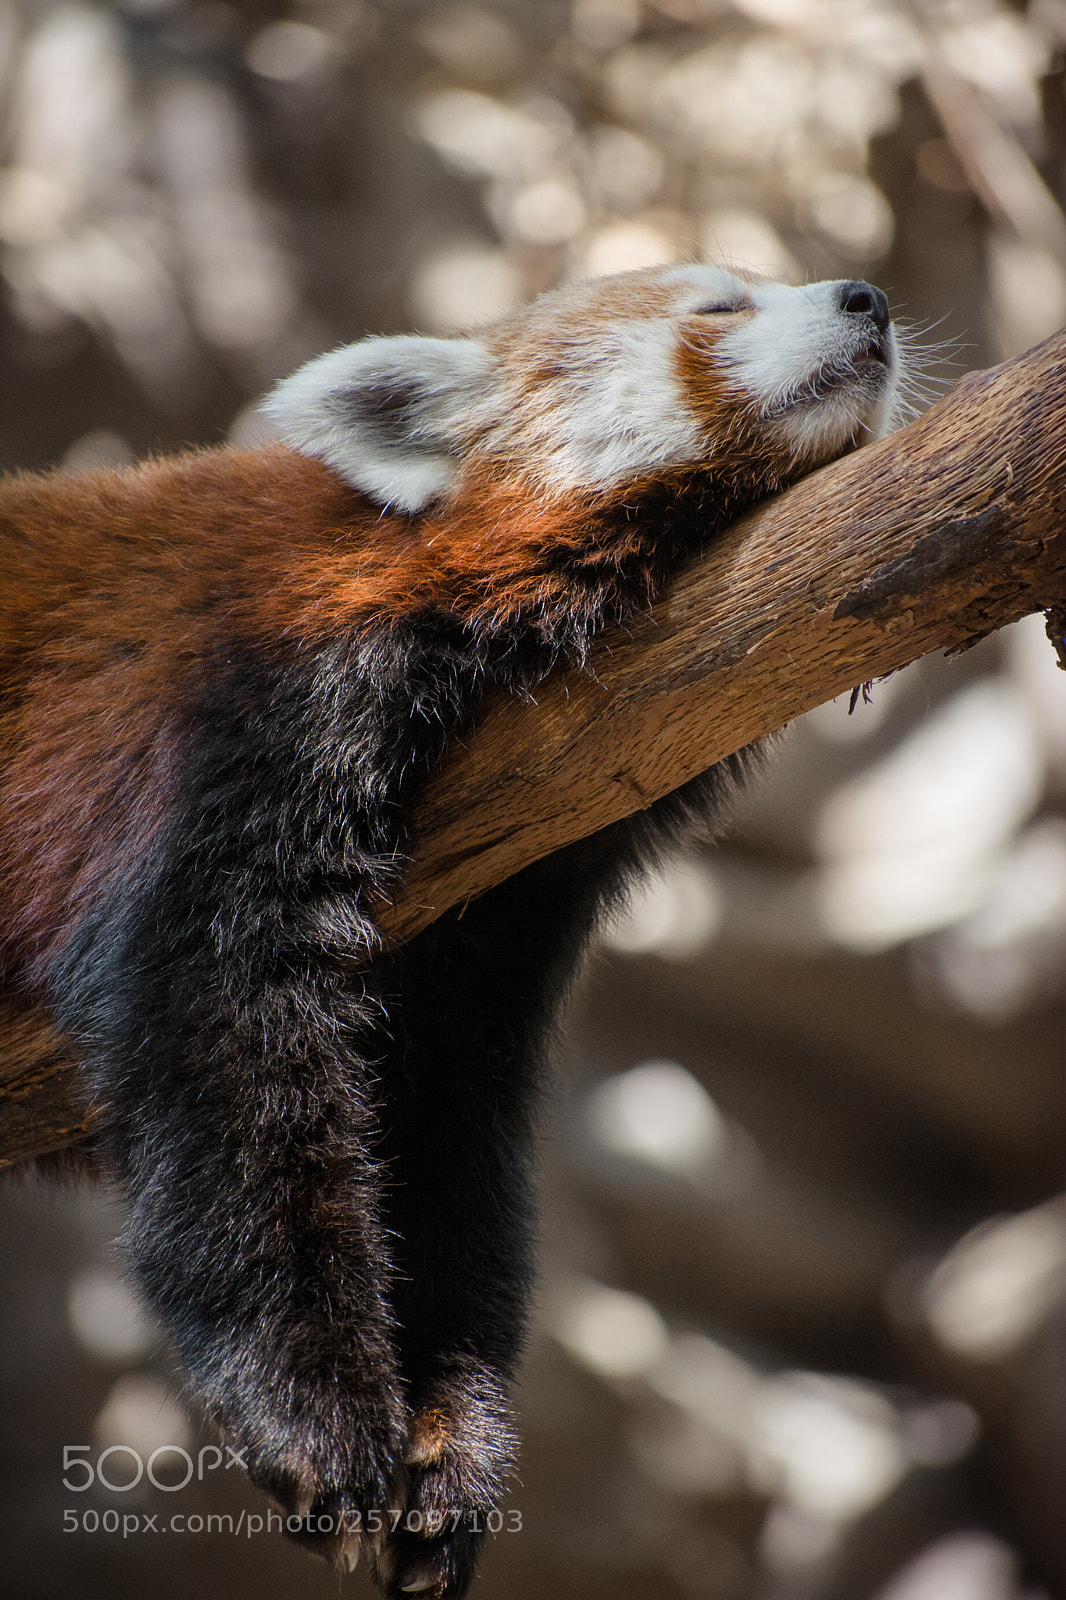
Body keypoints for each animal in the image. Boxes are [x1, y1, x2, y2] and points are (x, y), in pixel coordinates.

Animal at [0, 263, 900, 1596]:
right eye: (717, 309)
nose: (866, 297)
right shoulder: (251, 693)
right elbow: (219, 1031)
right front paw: (314, 1416)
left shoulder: (509, 880)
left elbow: (445, 1132)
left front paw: (453, 1450)